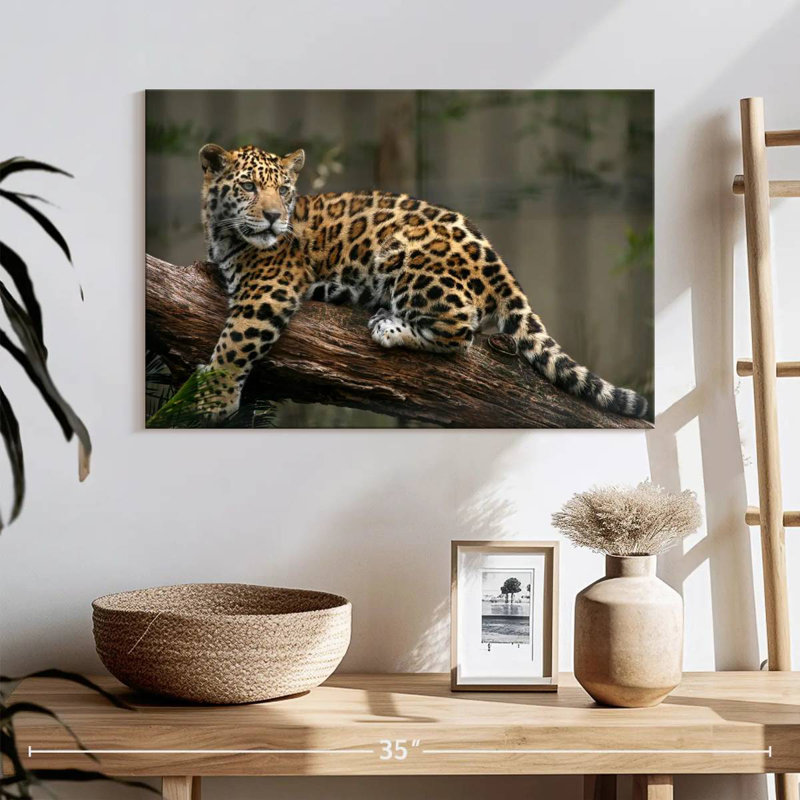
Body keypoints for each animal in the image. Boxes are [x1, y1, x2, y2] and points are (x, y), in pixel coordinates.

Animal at [195, 142, 648, 423]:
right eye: (249, 186)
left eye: (284, 190)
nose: (275, 217)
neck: (222, 232)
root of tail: (498, 261)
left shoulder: (268, 289)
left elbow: (235, 342)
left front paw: (211, 399)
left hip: (407, 257)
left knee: (461, 331)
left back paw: (389, 326)